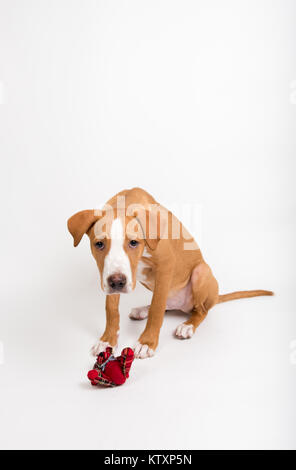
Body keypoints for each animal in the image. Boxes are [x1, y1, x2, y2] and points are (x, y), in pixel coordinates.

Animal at [67, 187, 272, 360]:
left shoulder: (165, 265)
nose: (118, 282)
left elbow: (157, 308)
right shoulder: (110, 274)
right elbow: (111, 309)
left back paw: (187, 325)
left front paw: (147, 342)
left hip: (201, 273)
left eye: (134, 243)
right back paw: (142, 310)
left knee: (200, 310)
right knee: (168, 304)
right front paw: (107, 340)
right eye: (99, 244)